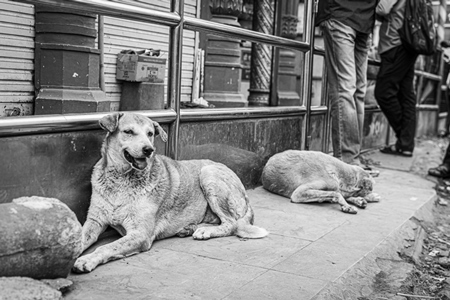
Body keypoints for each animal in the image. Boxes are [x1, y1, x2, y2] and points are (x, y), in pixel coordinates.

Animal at [73, 112, 268, 272]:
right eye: (128, 131)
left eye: (150, 134)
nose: (148, 150)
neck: (121, 180)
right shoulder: (94, 221)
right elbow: (79, 238)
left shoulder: (140, 234)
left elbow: (107, 247)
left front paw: (87, 260)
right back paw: (190, 228)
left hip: (208, 174)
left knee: (231, 223)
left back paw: (205, 231)